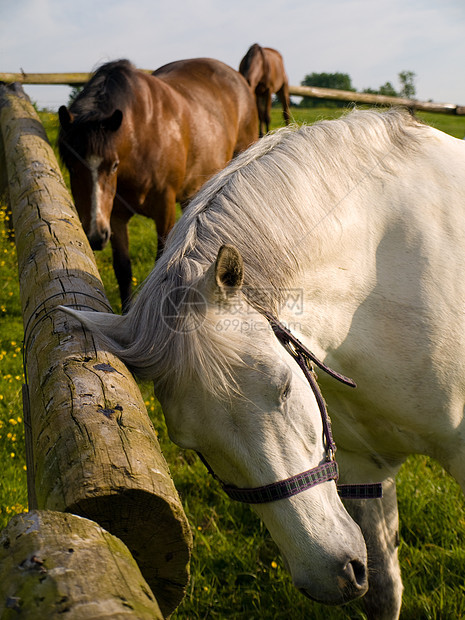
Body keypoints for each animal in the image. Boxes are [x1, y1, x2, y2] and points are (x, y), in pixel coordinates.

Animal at [58, 58, 258, 310]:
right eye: (72, 166)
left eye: (113, 165)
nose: (95, 235)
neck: (140, 138)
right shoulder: (116, 216)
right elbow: (123, 269)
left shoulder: (164, 210)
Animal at [63, 109, 464, 616]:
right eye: (191, 445)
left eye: (285, 388)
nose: (331, 575)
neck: (384, 275)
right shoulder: (363, 466)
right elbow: (383, 591)